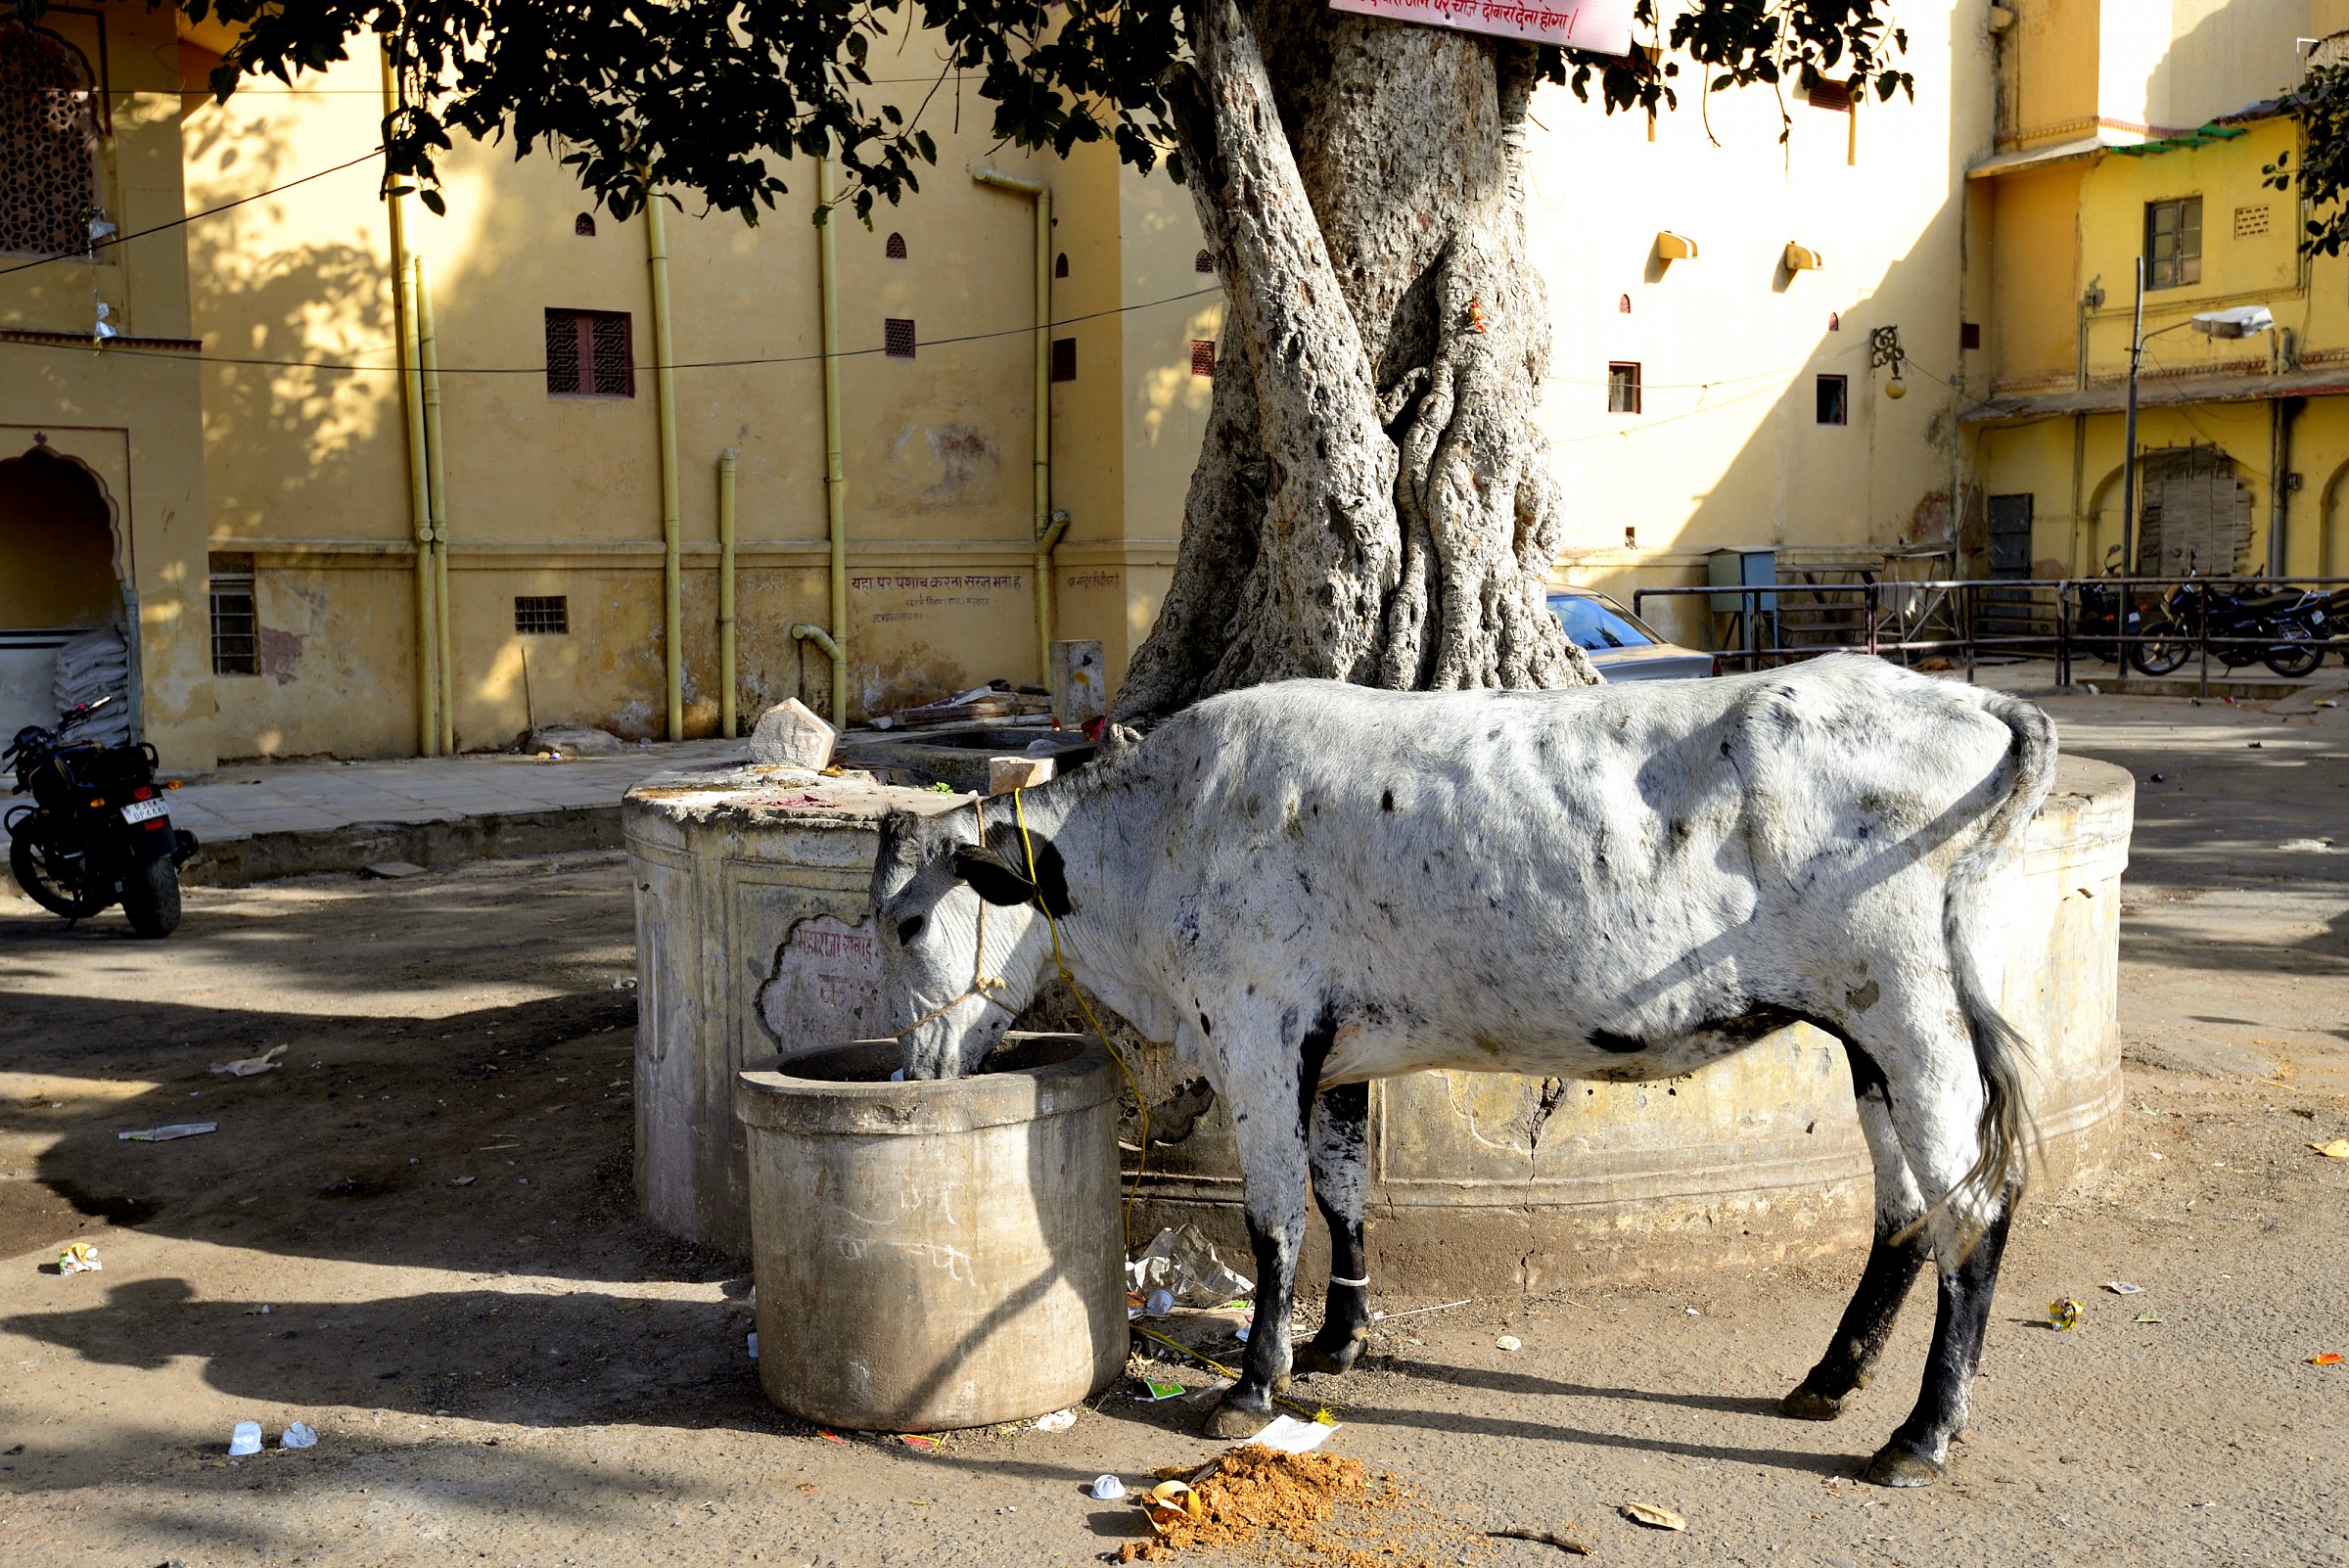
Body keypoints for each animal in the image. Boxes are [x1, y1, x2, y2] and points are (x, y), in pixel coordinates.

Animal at [869, 654, 2056, 1487]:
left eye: (910, 922)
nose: (910, 1072)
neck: (1163, 832)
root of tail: (1973, 706)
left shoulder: (1258, 1034)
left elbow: (1274, 1218)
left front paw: (1254, 1386)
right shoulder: (1335, 1050)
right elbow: (1341, 1196)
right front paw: (1339, 1340)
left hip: (1913, 1015)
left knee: (1973, 1208)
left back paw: (1920, 1434)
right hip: (1867, 1035)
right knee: (1905, 1209)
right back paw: (1831, 1378)